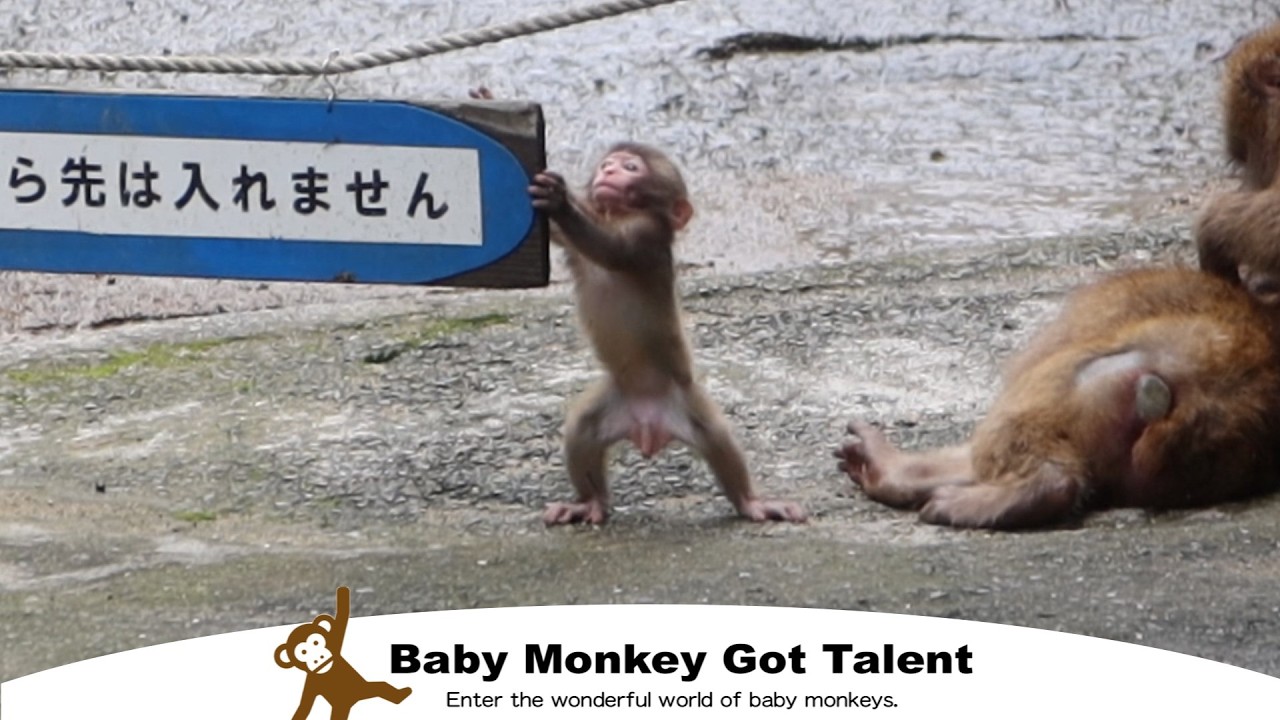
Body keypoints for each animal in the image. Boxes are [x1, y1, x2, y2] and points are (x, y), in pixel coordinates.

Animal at [275, 586, 411, 720]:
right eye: (303, 652)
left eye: (316, 642)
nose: (317, 657)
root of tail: (354, 701)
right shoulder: (311, 682)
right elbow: (306, 704)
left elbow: (342, 618)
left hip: (365, 689)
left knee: (381, 686)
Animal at [529, 142, 806, 525]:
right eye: (607, 163)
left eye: (631, 167)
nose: (608, 171)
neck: (617, 214)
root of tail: (648, 425)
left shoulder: (647, 234)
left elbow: (612, 249)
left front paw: (559, 200)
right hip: (614, 400)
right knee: (581, 429)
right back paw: (590, 501)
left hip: (686, 400)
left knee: (718, 438)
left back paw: (750, 501)